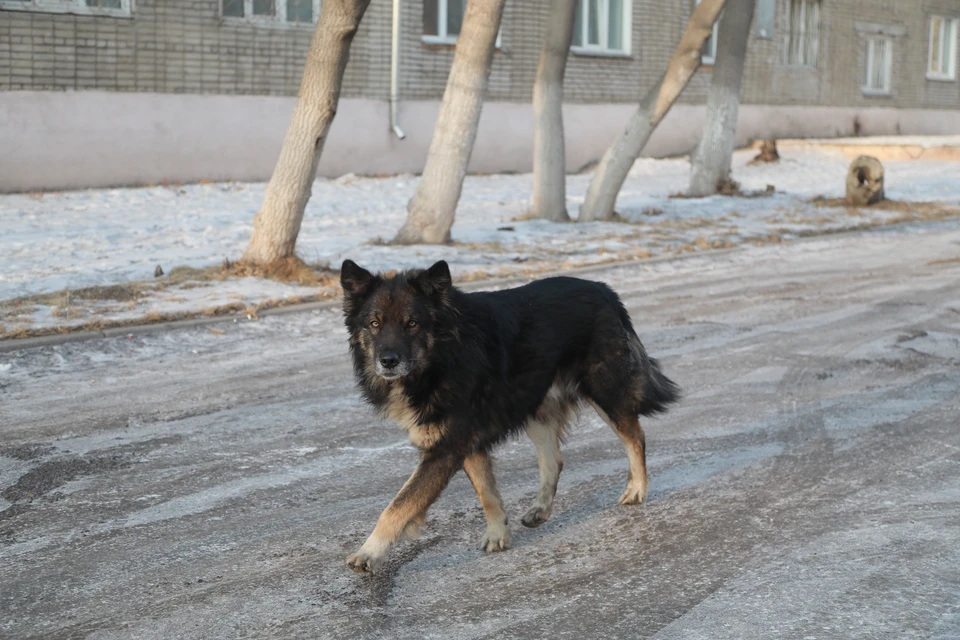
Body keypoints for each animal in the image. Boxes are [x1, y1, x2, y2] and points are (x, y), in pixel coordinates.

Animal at [342, 260, 680, 576]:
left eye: (411, 323)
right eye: (374, 323)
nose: (388, 361)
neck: (444, 356)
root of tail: (604, 290)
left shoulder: (445, 449)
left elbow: (399, 505)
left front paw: (369, 552)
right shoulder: (465, 442)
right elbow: (487, 492)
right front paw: (498, 533)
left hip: (603, 390)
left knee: (635, 436)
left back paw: (637, 489)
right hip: (535, 404)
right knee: (553, 460)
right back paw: (540, 509)